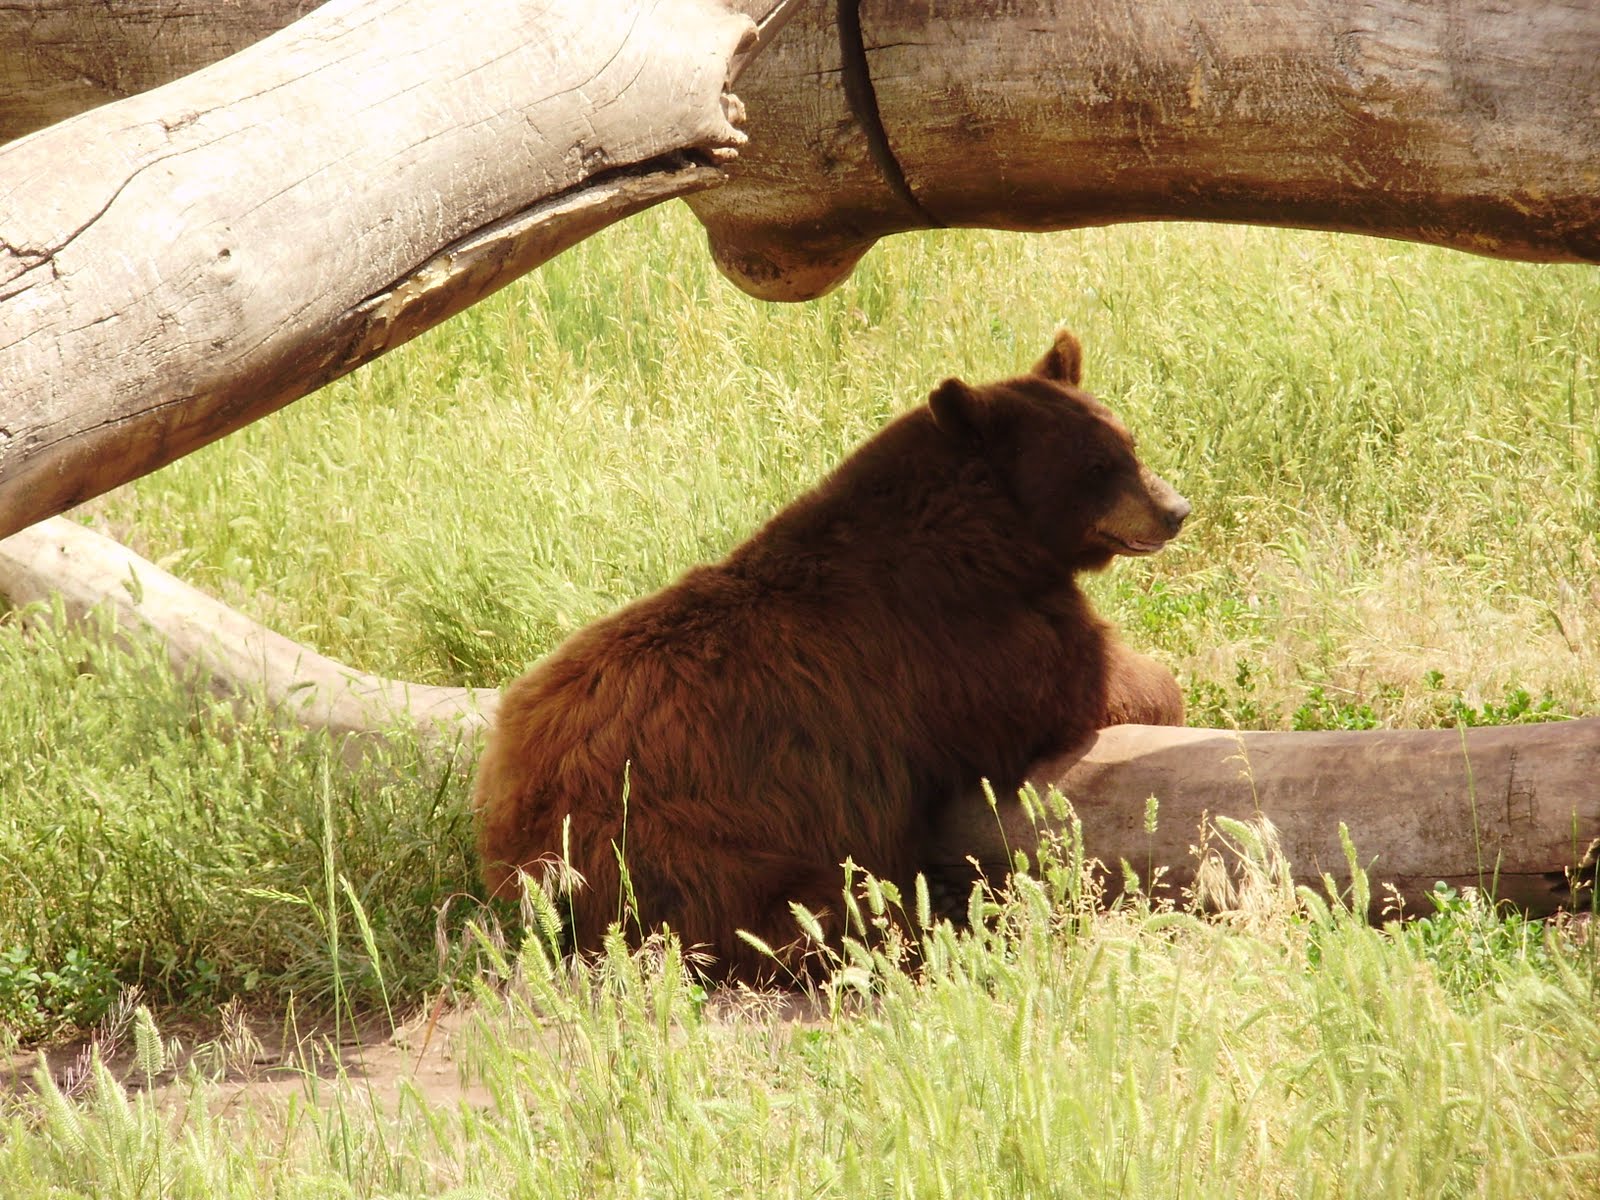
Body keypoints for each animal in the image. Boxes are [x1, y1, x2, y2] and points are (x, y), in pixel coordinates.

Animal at [473, 330, 1189, 983]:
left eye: (1129, 444)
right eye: (1096, 467)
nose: (1175, 510)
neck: (988, 535)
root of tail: (513, 836)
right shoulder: (963, 637)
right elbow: (1085, 685)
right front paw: (1160, 693)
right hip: (695, 833)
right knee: (805, 906)